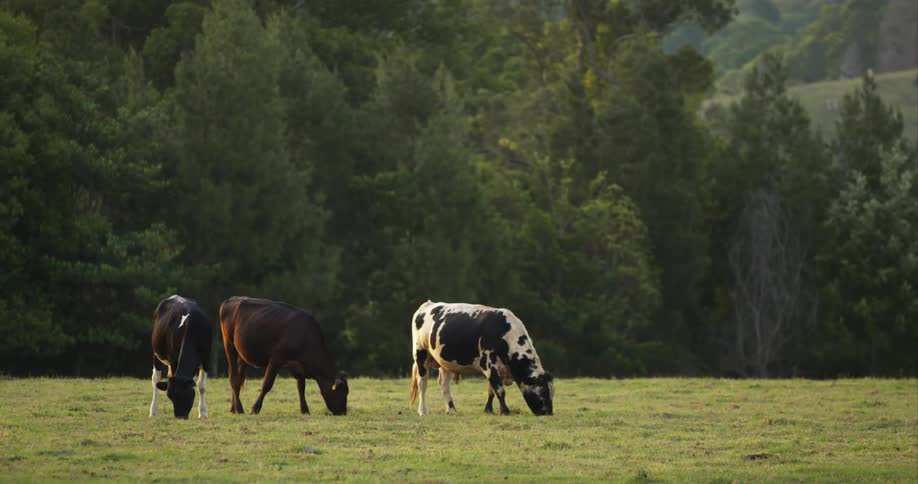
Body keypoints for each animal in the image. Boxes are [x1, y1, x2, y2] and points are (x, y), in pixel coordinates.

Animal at [219, 296, 348, 416]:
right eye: (343, 392)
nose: (343, 412)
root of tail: (231, 299)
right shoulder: (276, 359)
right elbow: (267, 384)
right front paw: (255, 408)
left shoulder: (298, 366)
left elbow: (301, 387)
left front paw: (304, 410)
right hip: (229, 344)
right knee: (234, 378)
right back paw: (239, 409)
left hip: (242, 354)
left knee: (239, 377)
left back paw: (233, 408)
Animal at [409, 301, 554, 416]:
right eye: (543, 391)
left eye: (552, 393)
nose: (548, 413)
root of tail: (427, 304)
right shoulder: (489, 363)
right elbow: (499, 390)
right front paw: (505, 411)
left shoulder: (495, 368)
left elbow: (491, 390)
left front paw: (488, 409)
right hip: (421, 354)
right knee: (422, 383)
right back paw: (423, 411)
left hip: (444, 362)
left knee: (444, 385)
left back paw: (451, 410)